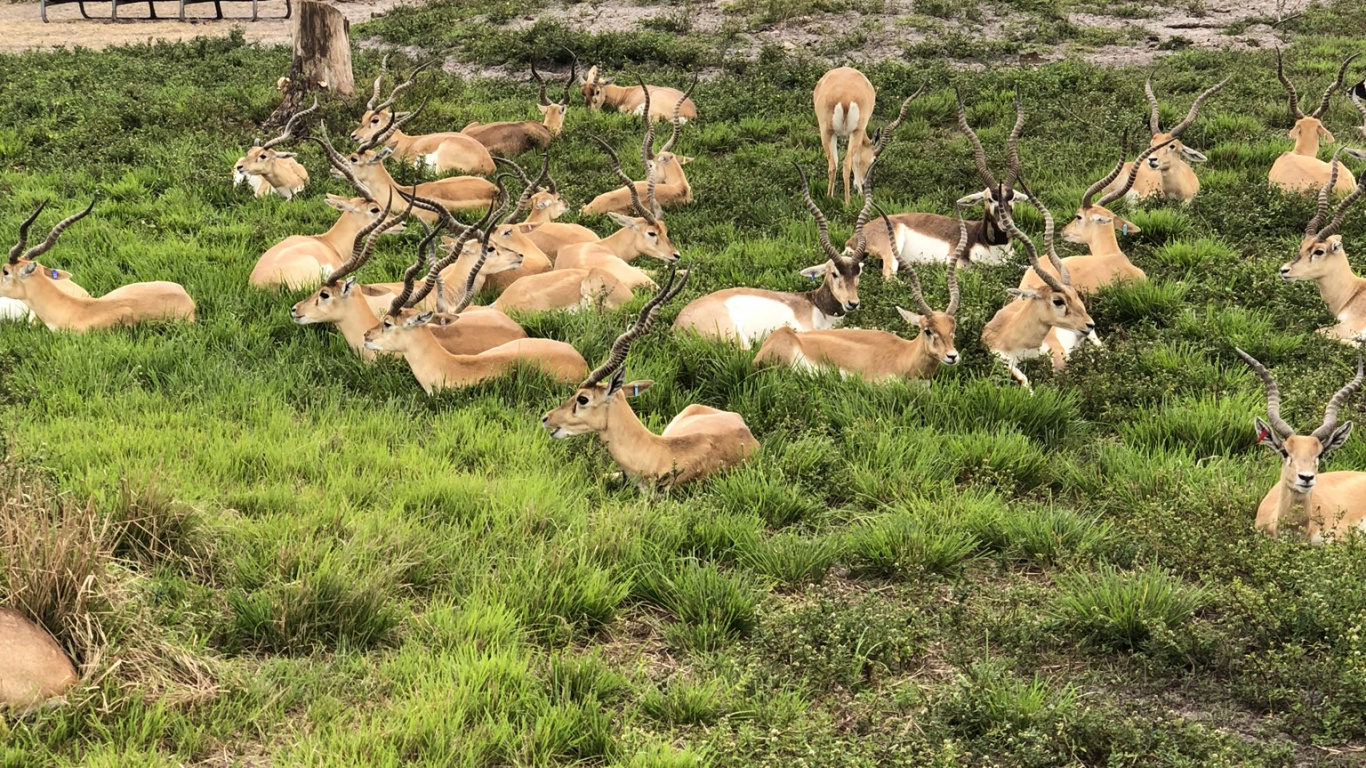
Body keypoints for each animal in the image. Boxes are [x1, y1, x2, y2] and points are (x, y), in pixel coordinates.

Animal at [853, 89, 1025, 278]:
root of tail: (857, 234)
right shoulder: (958, 263)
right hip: (892, 250)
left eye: (1012, 198)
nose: (1006, 224)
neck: (991, 246)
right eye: (990, 199)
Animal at [1279, 149, 1366, 344]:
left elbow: (1319, 331)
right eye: (1302, 245)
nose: (1284, 270)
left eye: (1319, 251)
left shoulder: (1353, 325)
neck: (1354, 293)